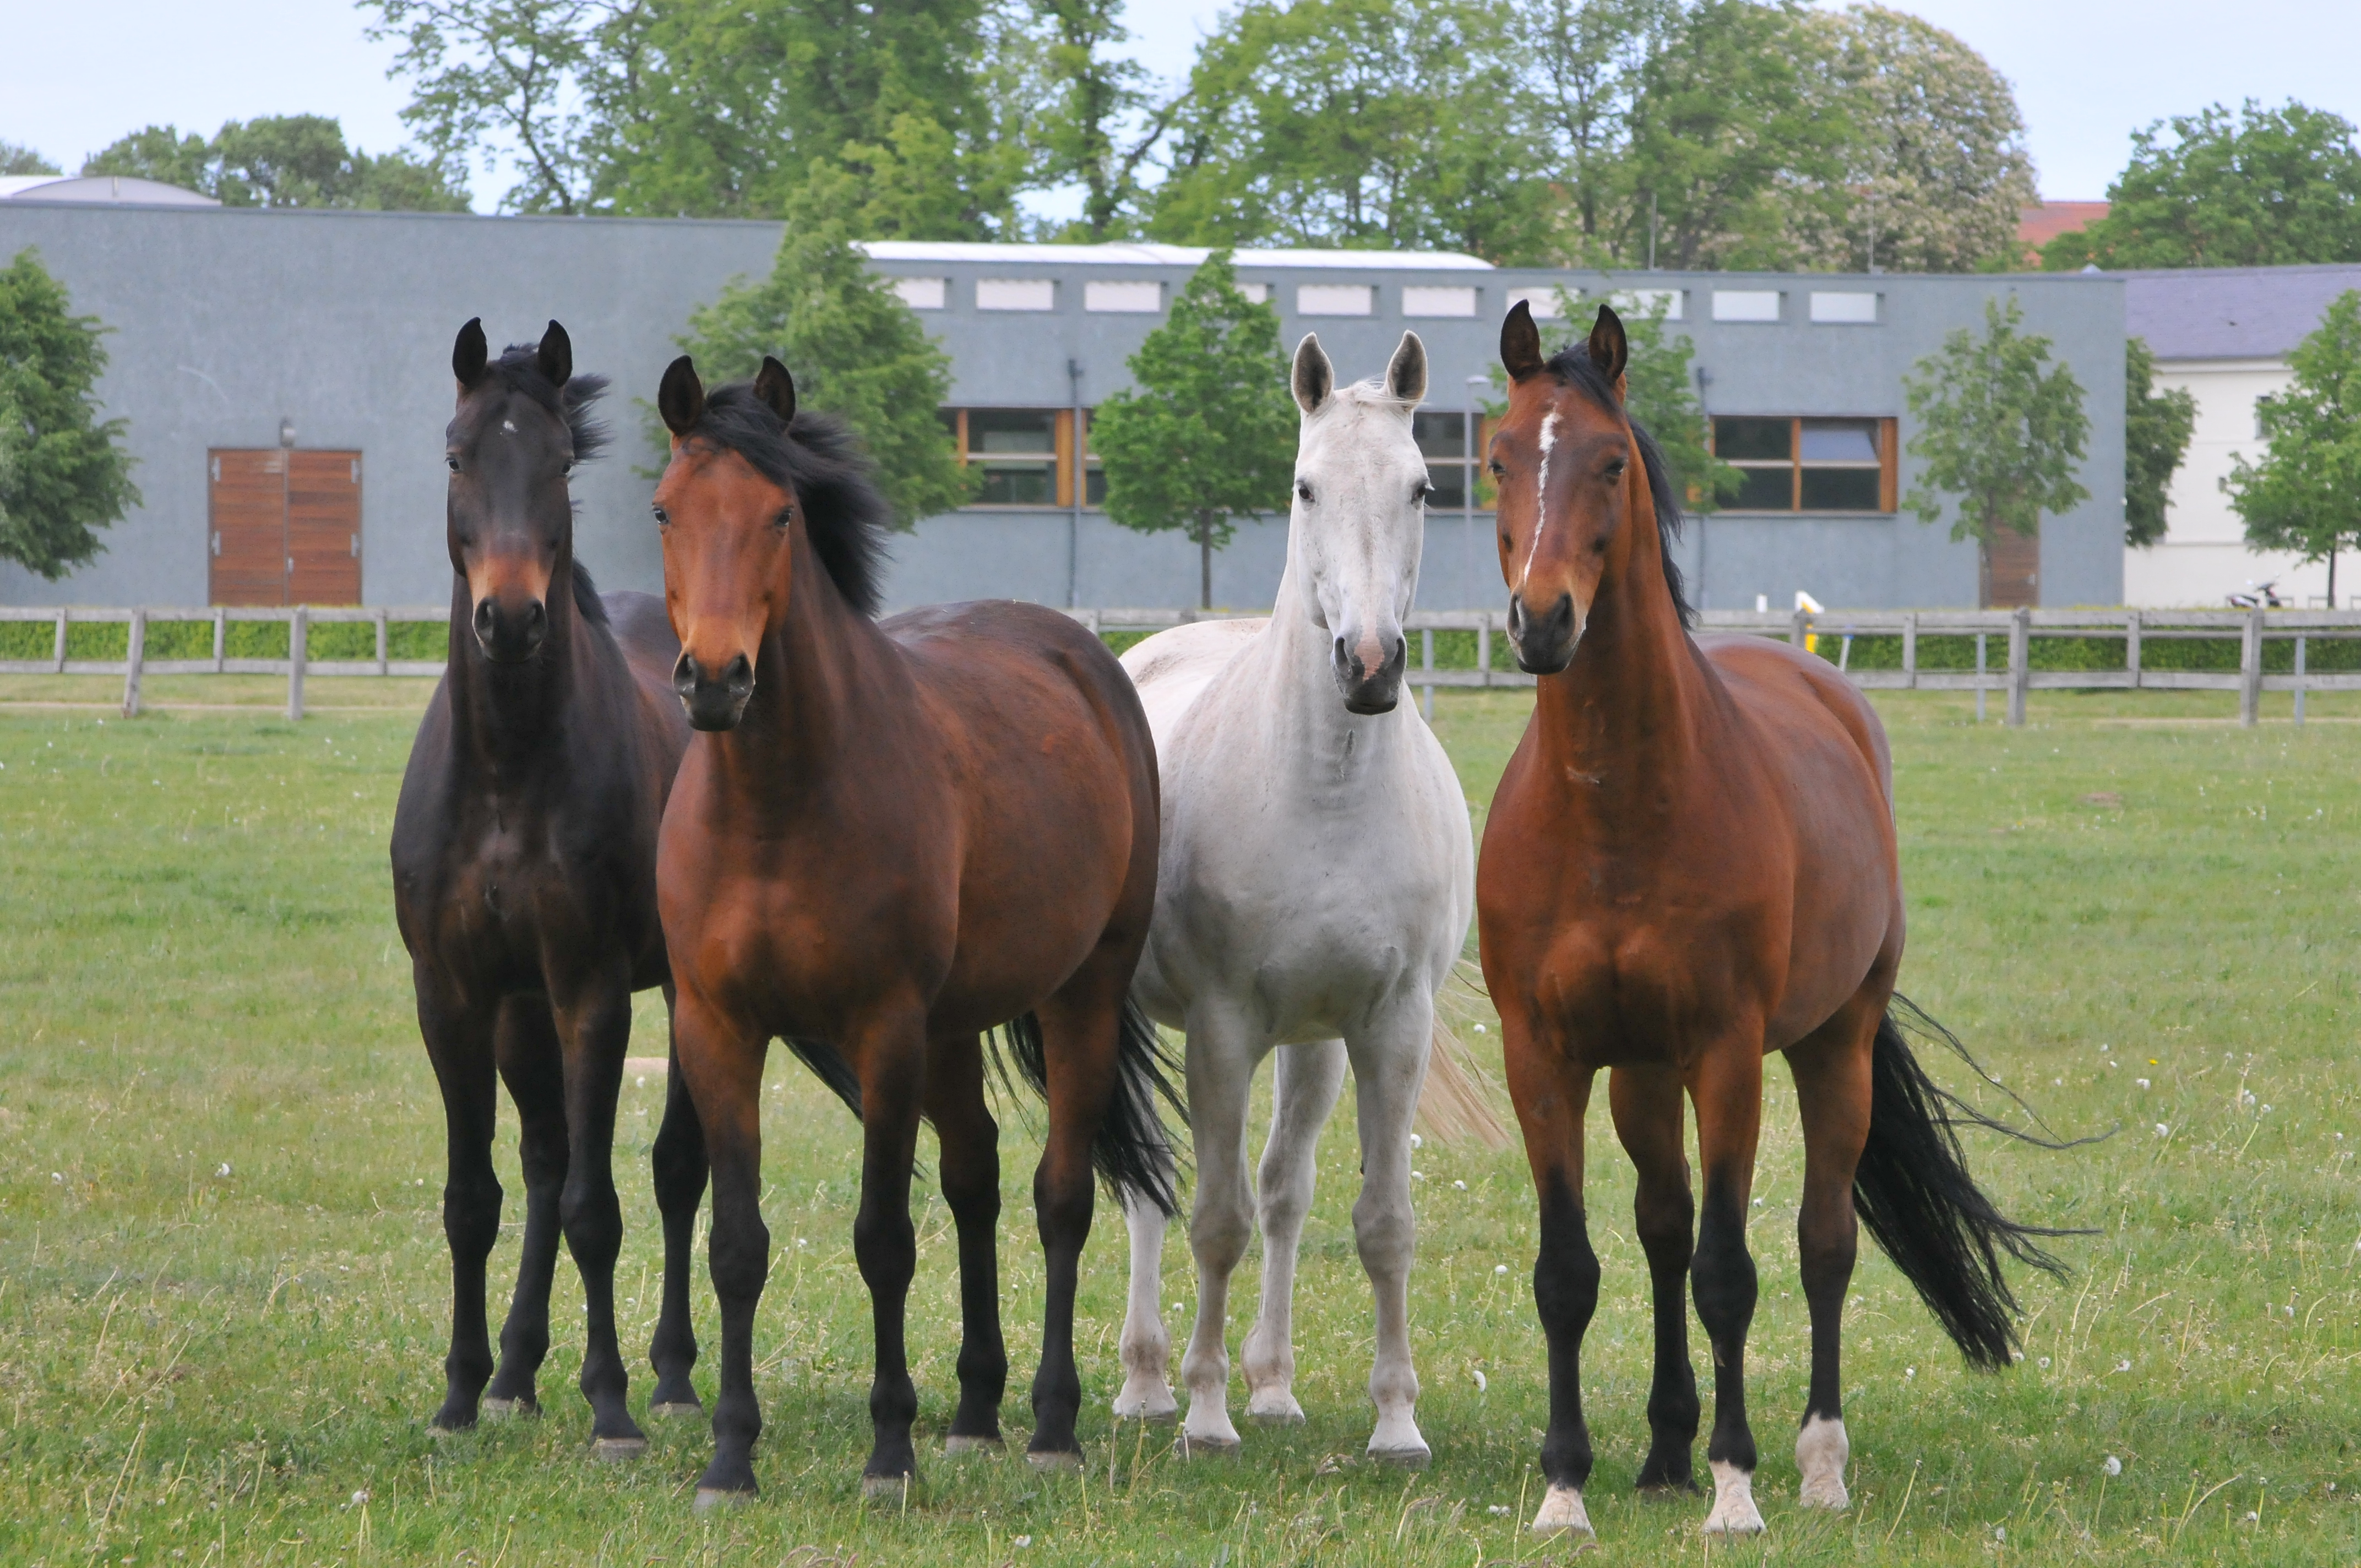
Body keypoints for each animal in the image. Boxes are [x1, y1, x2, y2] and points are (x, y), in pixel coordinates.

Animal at [396, 319, 703, 1455]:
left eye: (561, 463)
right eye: (456, 456)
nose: (513, 618)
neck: (505, 772)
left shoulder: (590, 991)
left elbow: (594, 1206)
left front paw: (610, 1402)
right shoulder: (453, 996)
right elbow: (474, 1198)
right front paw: (460, 1392)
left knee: (673, 1170)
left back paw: (670, 1375)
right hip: (517, 1012)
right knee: (537, 1160)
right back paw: (516, 1372)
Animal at [651, 352, 1176, 1511]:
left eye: (781, 514)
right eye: (664, 508)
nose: (715, 678)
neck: (778, 806)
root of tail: (1083, 654)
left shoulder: (882, 1029)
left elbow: (883, 1238)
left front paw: (887, 1450)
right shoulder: (717, 1029)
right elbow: (736, 1244)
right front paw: (728, 1456)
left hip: (1079, 993)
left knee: (1059, 1197)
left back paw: (1049, 1424)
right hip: (951, 1028)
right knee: (976, 1176)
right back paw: (976, 1410)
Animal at [1109, 333, 1473, 1473]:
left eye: (1422, 486)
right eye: (1305, 485)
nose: (1368, 664)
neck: (1324, 789)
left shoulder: (1388, 1024)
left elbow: (1376, 1220)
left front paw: (1395, 1420)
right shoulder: (1221, 1029)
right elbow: (1213, 1217)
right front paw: (1203, 1410)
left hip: (1312, 1045)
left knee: (1282, 1189)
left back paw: (1272, 1386)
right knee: (1149, 1184)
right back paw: (1147, 1380)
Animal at [1482, 300, 2077, 1539]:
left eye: (1610, 462)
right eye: (1498, 457)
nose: (1543, 620)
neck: (1611, 805)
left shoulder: (1726, 1055)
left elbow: (1730, 1269)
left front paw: (1734, 1485)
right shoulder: (1543, 1058)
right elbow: (1570, 1270)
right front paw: (1565, 1487)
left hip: (1827, 1050)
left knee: (1819, 1246)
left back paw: (1814, 1459)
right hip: (1641, 1074)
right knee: (1660, 1226)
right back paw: (1661, 1448)